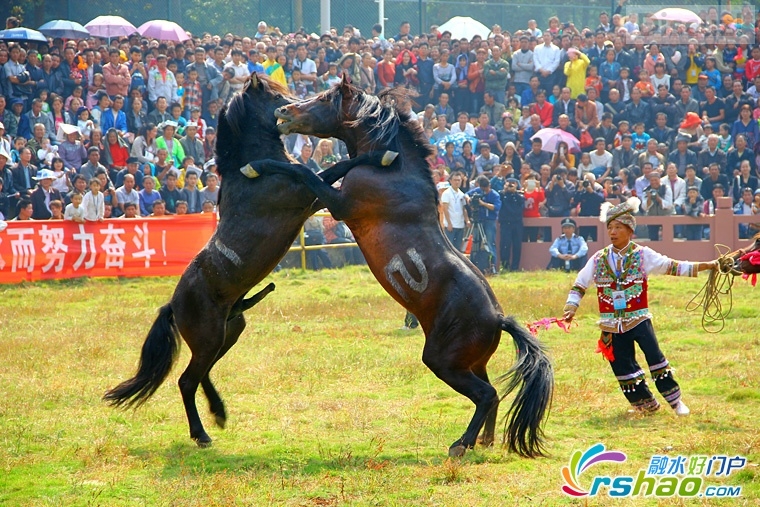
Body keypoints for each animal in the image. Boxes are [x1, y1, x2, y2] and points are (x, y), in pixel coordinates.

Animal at [105, 73, 392, 446]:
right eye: (277, 97)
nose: (289, 110)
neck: (251, 175)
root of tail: (173, 304)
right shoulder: (308, 195)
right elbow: (335, 166)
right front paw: (383, 156)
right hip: (211, 337)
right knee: (187, 380)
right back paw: (202, 433)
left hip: (229, 332)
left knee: (201, 374)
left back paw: (219, 412)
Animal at [246, 75, 556, 460]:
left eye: (324, 99)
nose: (284, 112)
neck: (396, 174)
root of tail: (499, 318)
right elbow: (322, 168)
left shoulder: (339, 203)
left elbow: (304, 170)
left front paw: (254, 165)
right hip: (471, 363)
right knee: (491, 393)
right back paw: (484, 441)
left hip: (443, 361)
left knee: (486, 395)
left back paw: (461, 444)